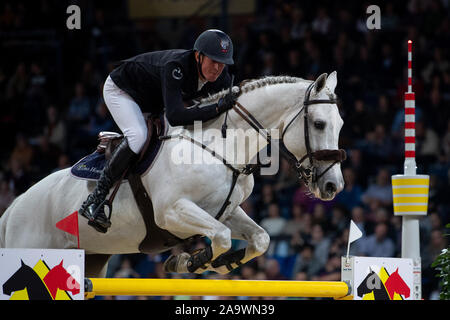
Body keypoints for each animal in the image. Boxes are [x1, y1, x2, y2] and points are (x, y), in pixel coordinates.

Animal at [0, 71, 344, 276]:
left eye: (340, 124)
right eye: (318, 124)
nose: (333, 186)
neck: (221, 144)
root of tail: (14, 206)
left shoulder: (225, 210)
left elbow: (260, 238)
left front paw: (222, 262)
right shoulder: (172, 212)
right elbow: (220, 236)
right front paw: (190, 261)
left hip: (92, 259)